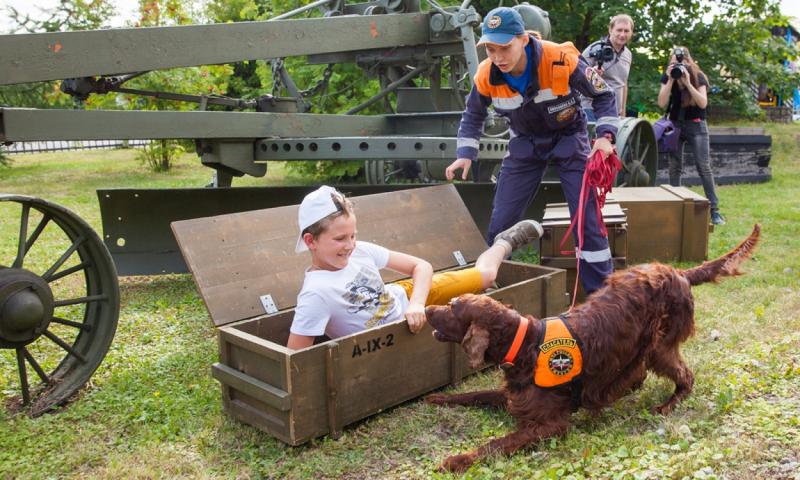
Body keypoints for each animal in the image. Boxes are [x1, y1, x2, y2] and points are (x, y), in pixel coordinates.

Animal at [424, 224, 764, 472]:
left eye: (452, 306)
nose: (426, 310)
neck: (523, 343)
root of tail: (679, 273)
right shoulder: (513, 396)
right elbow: (474, 394)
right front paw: (440, 397)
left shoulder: (551, 424)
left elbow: (497, 443)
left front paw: (456, 460)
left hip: (660, 346)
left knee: (685, 376)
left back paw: (667, 405)